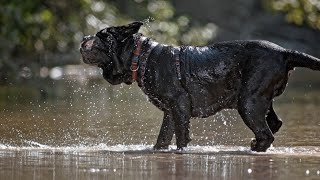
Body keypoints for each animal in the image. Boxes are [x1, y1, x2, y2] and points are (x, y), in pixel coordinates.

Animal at [80, 21, 320, 152]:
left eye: (101, 36)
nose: (83, 37)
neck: (142, 58)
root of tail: (285, 52)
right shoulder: (170, 111)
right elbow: (163, 137)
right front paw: (158, 150)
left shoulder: (180, 105)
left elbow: (181, 137)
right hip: (260, 100)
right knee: (274, 124)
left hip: (248, 102)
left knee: (266, 133)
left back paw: (255, 147)